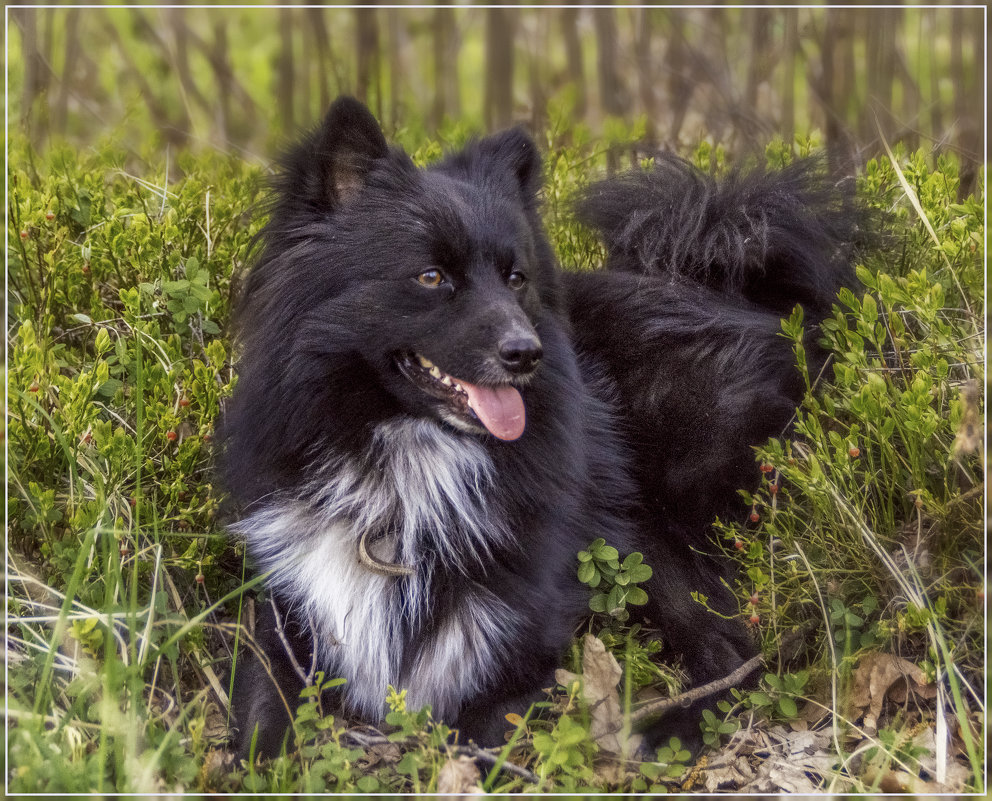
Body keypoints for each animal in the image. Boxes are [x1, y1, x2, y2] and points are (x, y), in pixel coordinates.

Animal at [225, 97, 860, 752]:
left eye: (516, 278)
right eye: (431, 276)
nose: (526, 353)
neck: (412, 454)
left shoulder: (525, 634)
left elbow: (484, 733)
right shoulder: (288, 606)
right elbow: (257, 725)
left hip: (657, 514)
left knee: (736, 652)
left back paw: (663, 732)